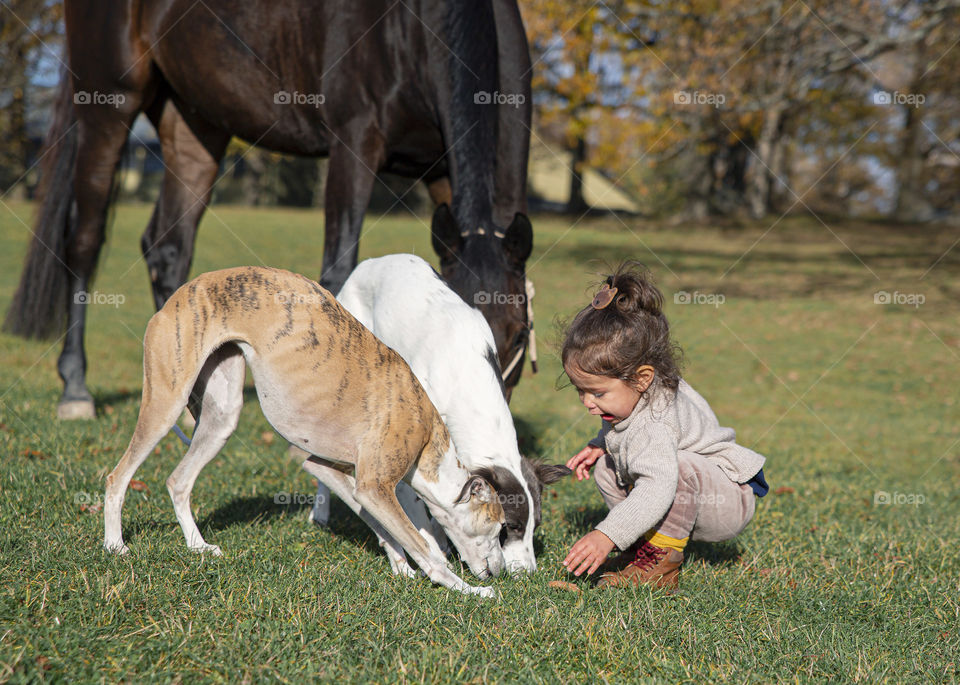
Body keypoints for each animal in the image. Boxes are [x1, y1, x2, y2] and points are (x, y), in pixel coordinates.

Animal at [5, 0, 532, 416]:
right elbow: (339, 265)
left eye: (519, 337)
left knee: (168, 249)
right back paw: (76, 389)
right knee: (85, 239)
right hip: (109, 104)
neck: (416, 24)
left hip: (195, 124)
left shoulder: (443, 171)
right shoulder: (354, 144)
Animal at [103, 264, 510, 596]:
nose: (501, 573)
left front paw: (400, 566)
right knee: (117, 477)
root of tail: (180, 293)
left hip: (222, 415)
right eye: (499, 526)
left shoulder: (330, 469)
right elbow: (423, 546)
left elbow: (376, 523)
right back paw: (115, 546)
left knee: (178, 480)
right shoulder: (375, 485)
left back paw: (198, 546)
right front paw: (468, 590)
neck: (427, 442)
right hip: (167, 401)